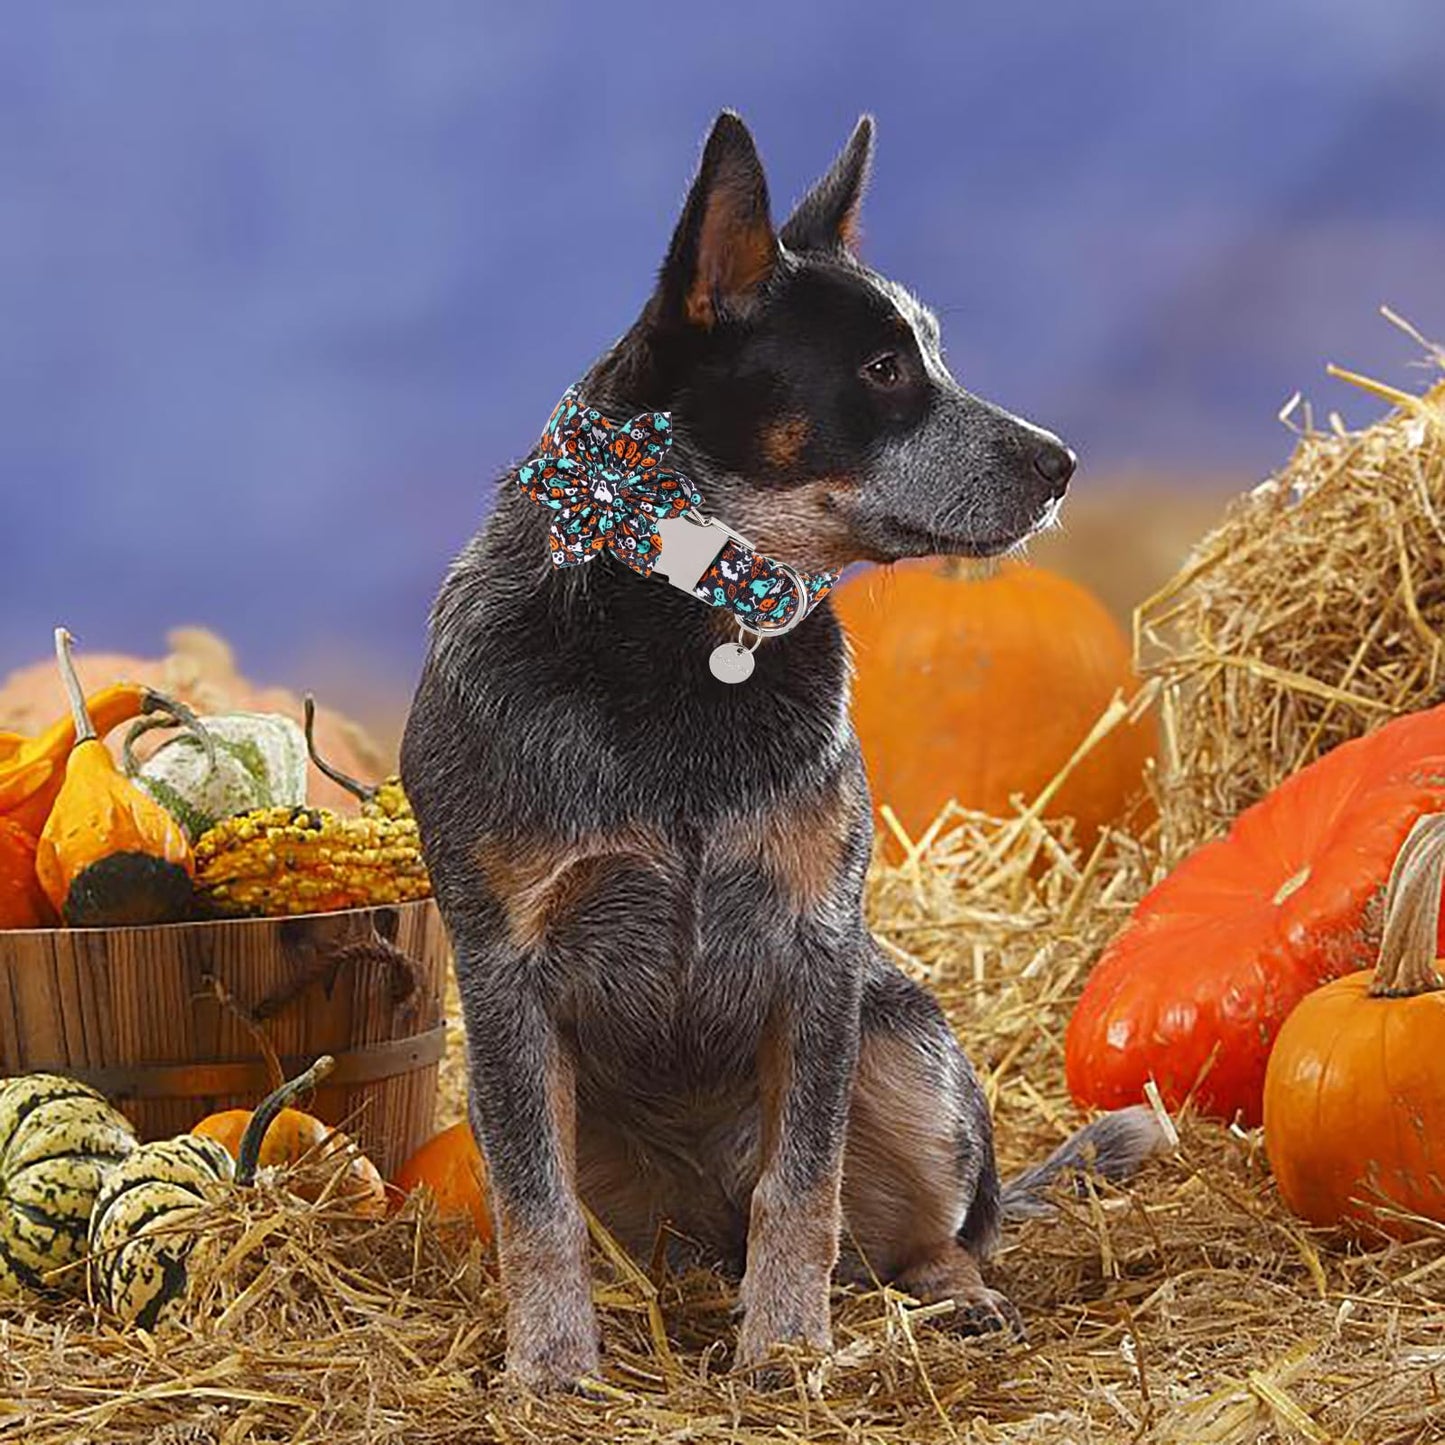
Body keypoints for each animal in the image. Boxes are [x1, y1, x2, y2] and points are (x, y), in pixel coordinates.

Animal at [401, 106, 1167, 1392]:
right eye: (881, 369)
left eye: (932, 351)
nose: (1062, 461)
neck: (691, 622)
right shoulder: (505, 965)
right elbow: (533, 1205)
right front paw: (551, 1366)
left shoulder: (816, 944)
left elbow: (801, 1184)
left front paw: (786, 1347)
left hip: (903, 1044)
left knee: (935, 1230)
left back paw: (951, 1295)